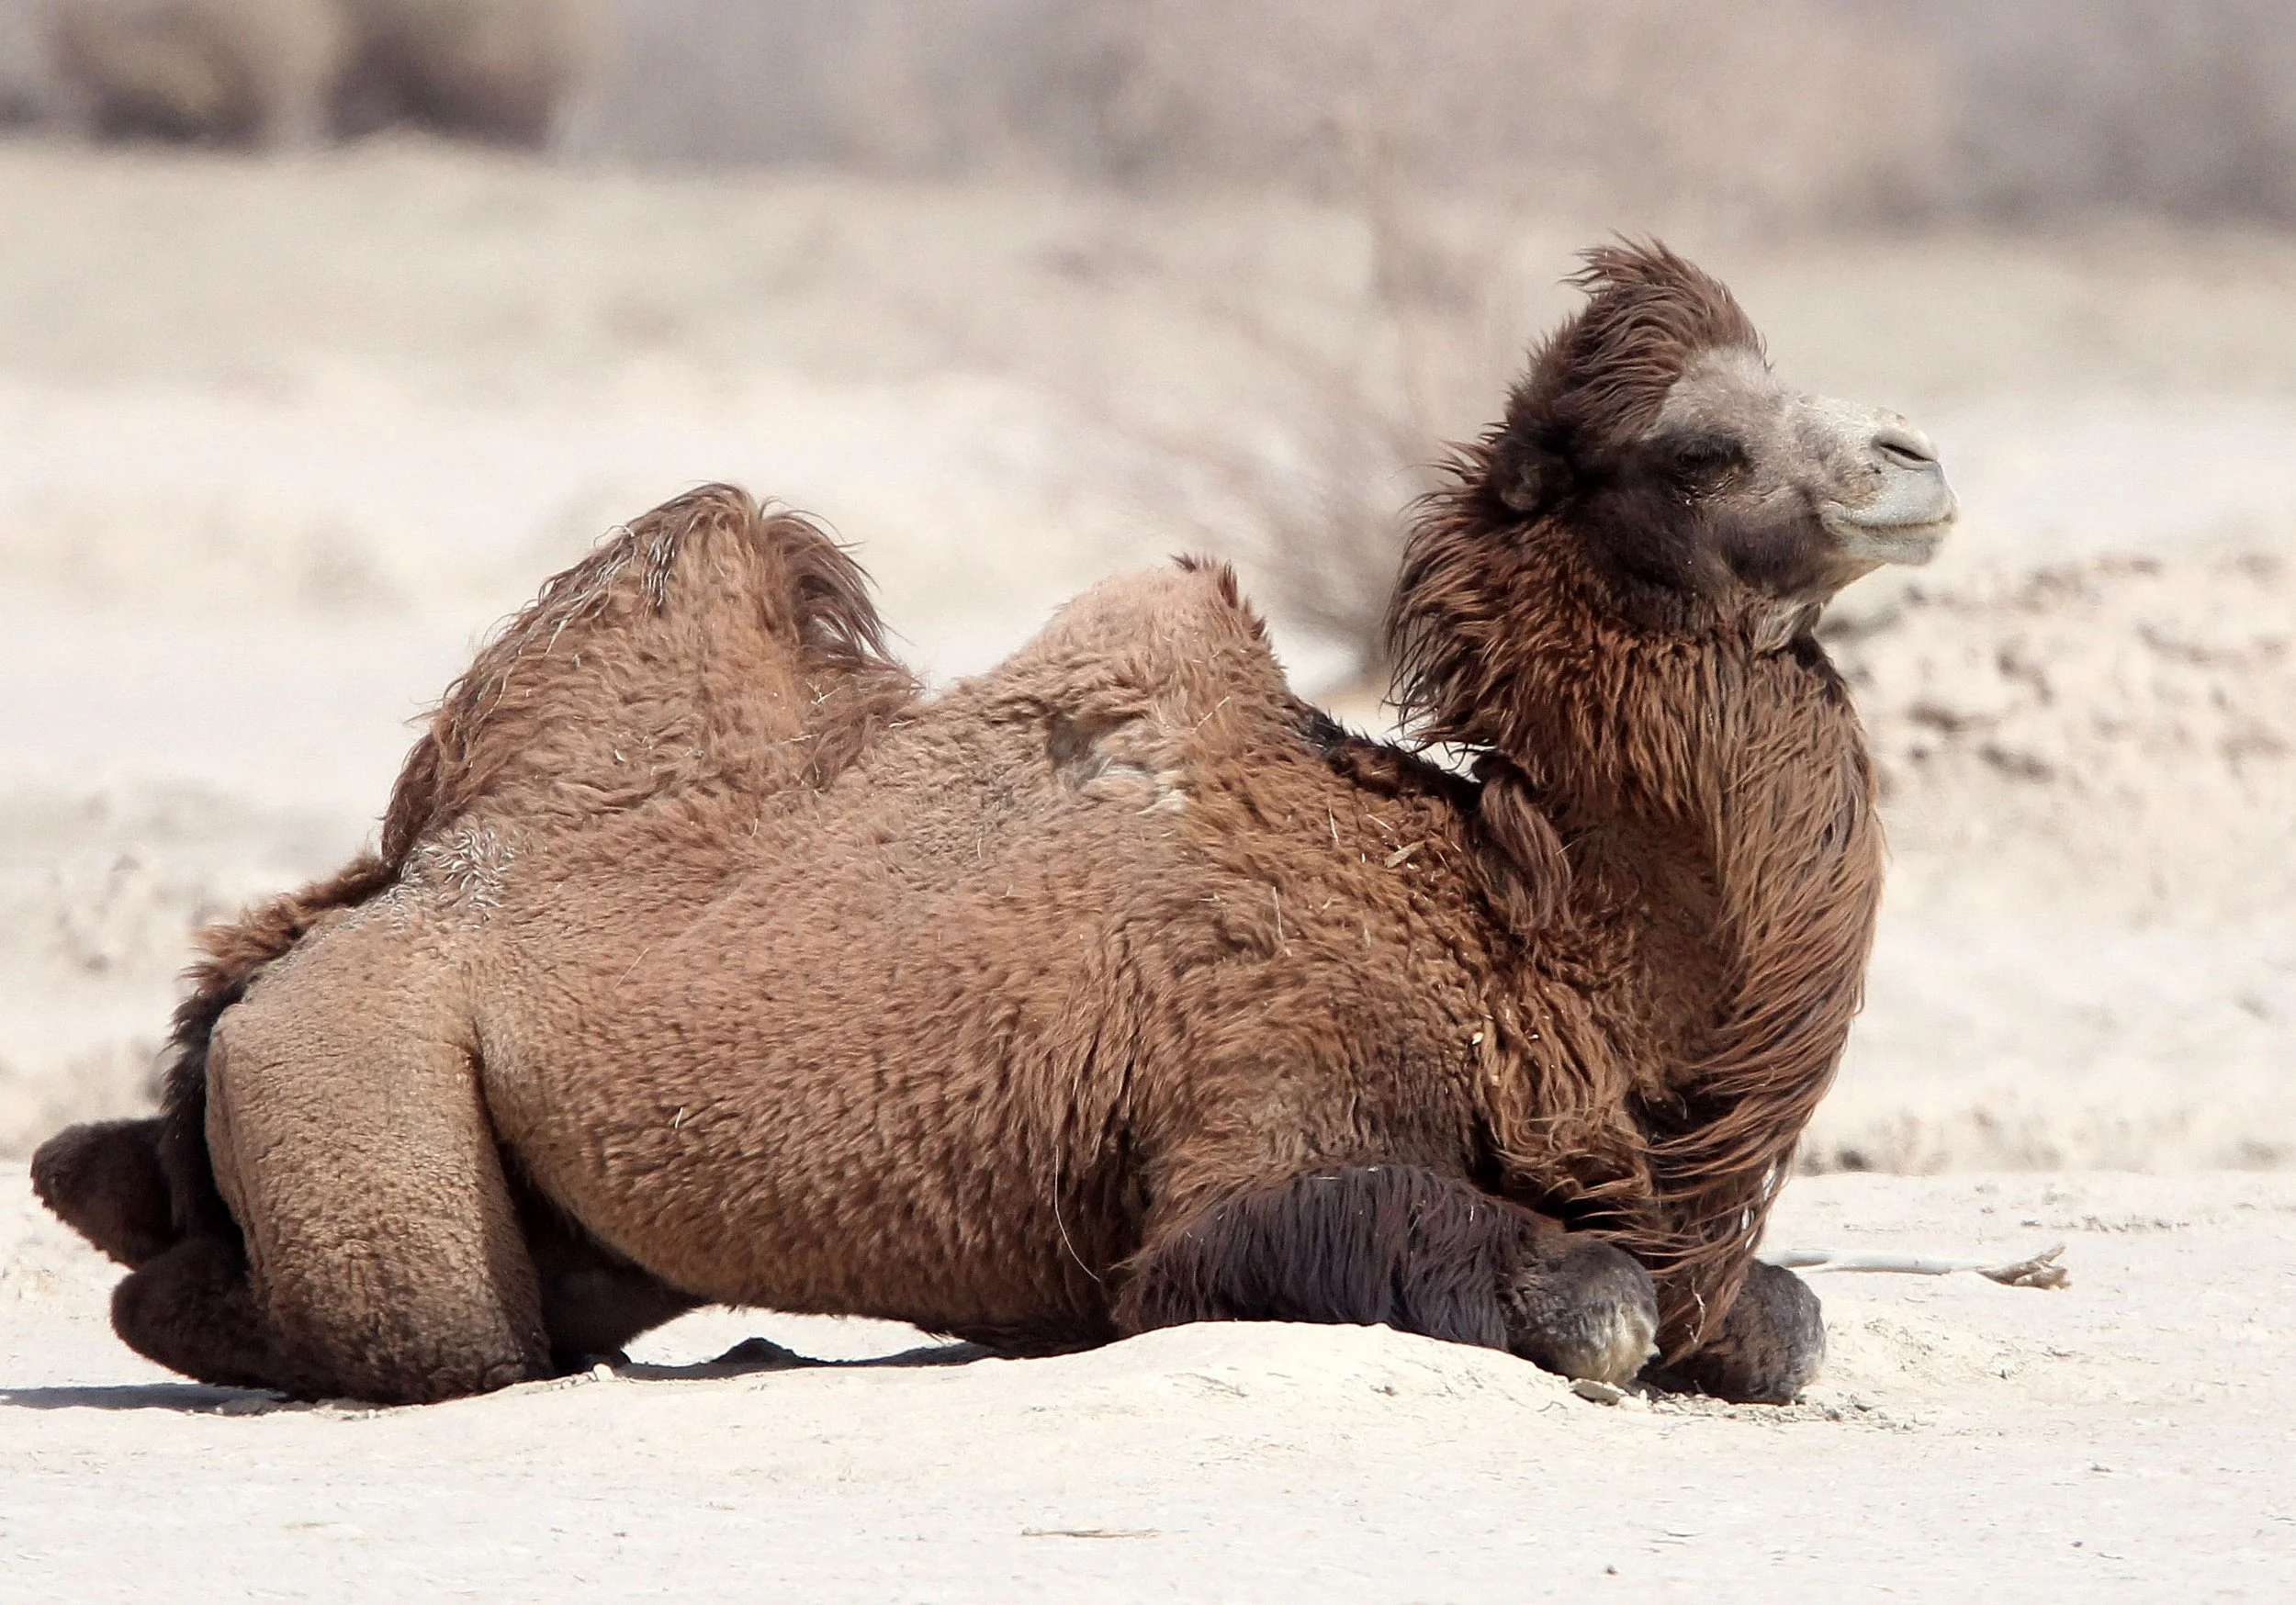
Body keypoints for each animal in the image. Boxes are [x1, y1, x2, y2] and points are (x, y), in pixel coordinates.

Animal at [32, 241, 1957, 1406]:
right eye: (1702, 448)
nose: (1917, 460)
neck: (1518, 941)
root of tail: (336, 920)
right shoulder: (1246, 1123)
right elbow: (1583, 1299)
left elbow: (1774, 1315)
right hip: (361, 1080)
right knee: (415, 1326)